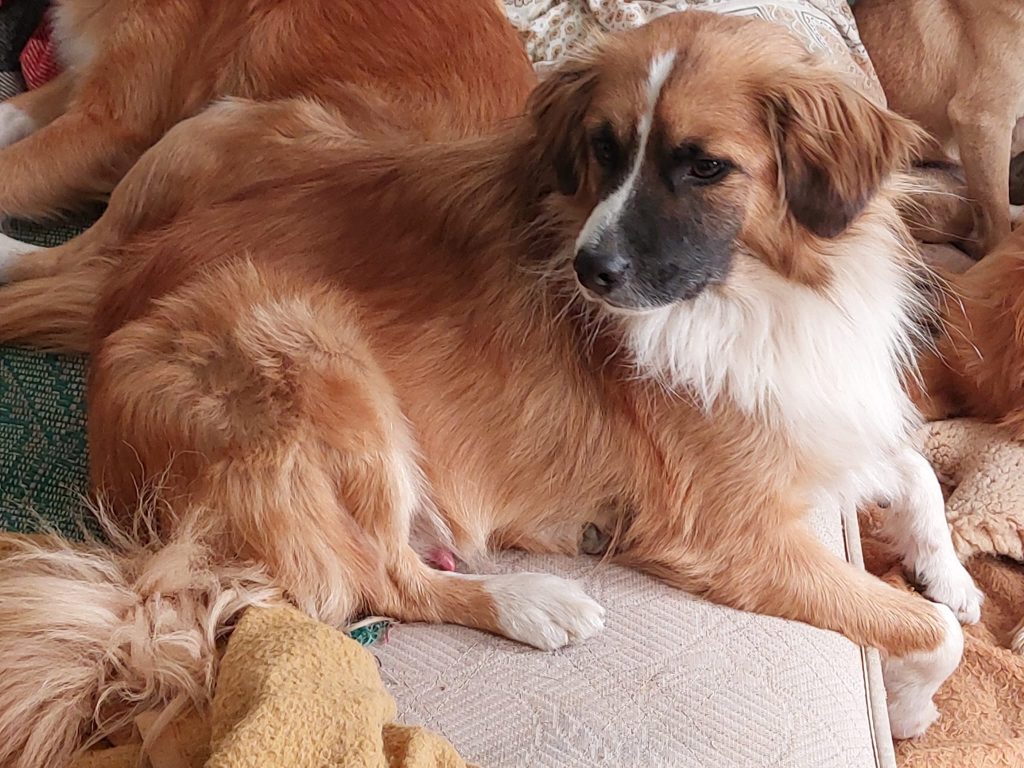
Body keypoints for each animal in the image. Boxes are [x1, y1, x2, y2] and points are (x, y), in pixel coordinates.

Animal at [0, 11, 983, 761]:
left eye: (704, 165)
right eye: (603, 150)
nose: (589, 271)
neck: (761, 293)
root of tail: (111, 318)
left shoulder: (821, 417)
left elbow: (912, 468)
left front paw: (949, 571)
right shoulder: (735, 535)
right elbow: (930, 633)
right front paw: (910, 705)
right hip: (308, 350)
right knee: (369, 584)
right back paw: (530, 603)